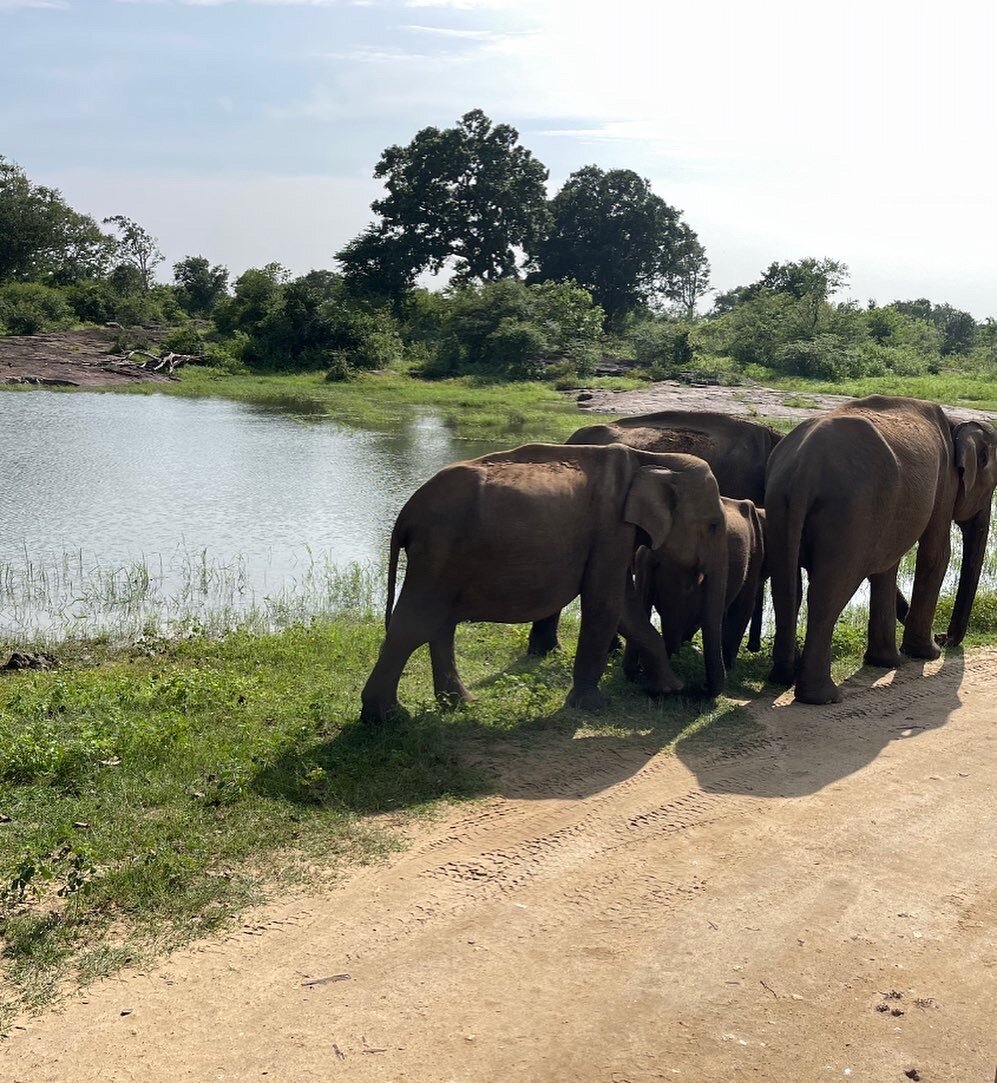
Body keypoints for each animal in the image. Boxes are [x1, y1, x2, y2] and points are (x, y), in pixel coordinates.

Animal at [357, 444, 723, 723]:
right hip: (438, 551)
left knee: (439, 625)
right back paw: (387, 718)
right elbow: (605, 604)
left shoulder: (616, 536)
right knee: (414, 625)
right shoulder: (611, 529)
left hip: (440, 557)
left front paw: (670, 689)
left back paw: (461, 703)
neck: (650, 458)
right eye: (714, 525)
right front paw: (593, 707)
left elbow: (625, 608)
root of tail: (405, 514)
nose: (701, 695)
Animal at [766, 394, 991, 706]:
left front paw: (888, 662)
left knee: (786, 586)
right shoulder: (944, 481)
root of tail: (803, 468)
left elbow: (888, 565)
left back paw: (782, 677)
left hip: (781, 502)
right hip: (850, 511)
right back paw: (823, 696)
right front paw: (927, 654)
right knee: (829, 591)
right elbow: (936, 553)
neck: (957, 423)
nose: (944, 638)